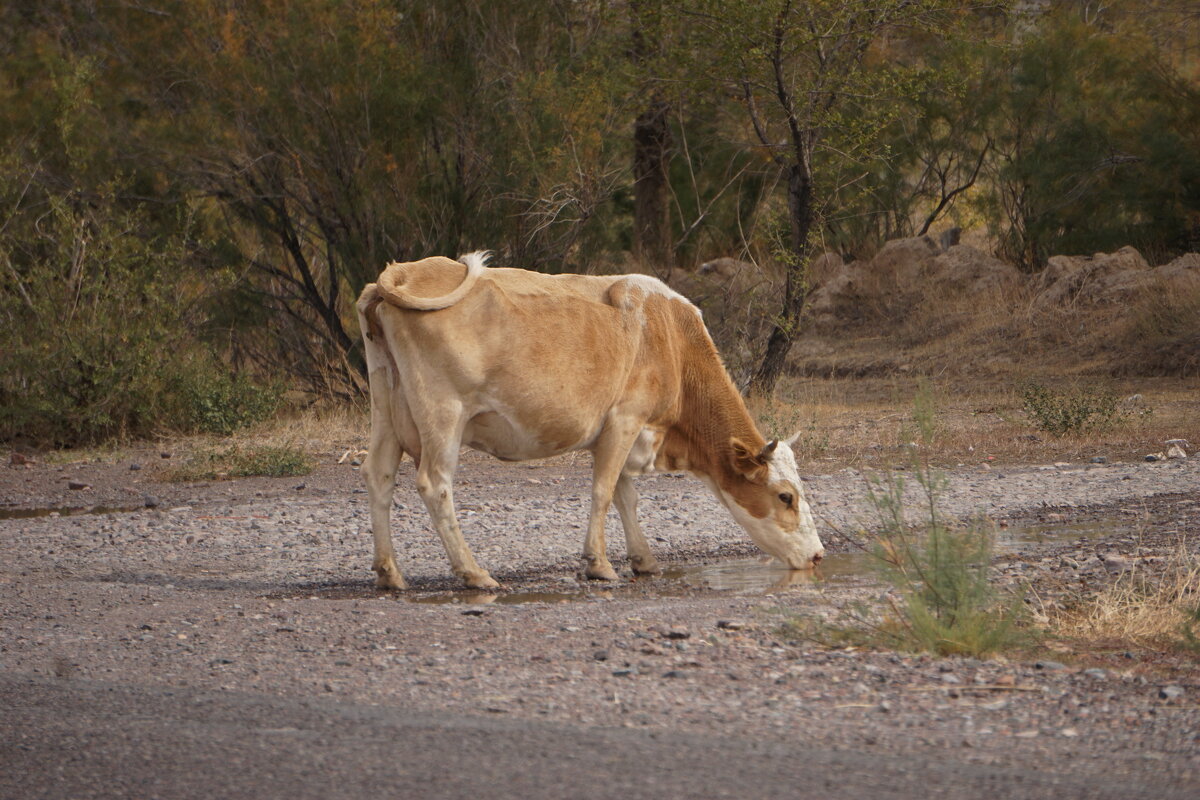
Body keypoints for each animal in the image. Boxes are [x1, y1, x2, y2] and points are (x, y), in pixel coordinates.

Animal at [352, 253, 825, 592]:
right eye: (785, 496)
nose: (819, 555)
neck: (672, 339)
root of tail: (401, 272)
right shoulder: (625, 418)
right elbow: (604, 491)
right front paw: (599, 565)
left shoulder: (626, 431)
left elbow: (625, 495)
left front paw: (644, 560)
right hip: (443, 412)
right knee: (435, 483)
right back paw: (474, 573)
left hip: (386, 406)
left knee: (378, 475)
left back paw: (389, 573)